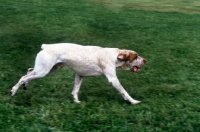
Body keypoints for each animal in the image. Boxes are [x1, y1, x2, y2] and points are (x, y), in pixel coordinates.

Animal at [9, 43, 147, 104]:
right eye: (136, 56)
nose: (146, 60)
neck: (115, 55)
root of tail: (46, 46)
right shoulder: (112, 79)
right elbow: (124, 91)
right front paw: (133, 101)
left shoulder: (80, 75)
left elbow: (75, 91)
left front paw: (76, 102)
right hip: (43, 71)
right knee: (23, 77)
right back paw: (13, 91)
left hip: (48, 70)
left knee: (28, 72)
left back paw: (25, 86)